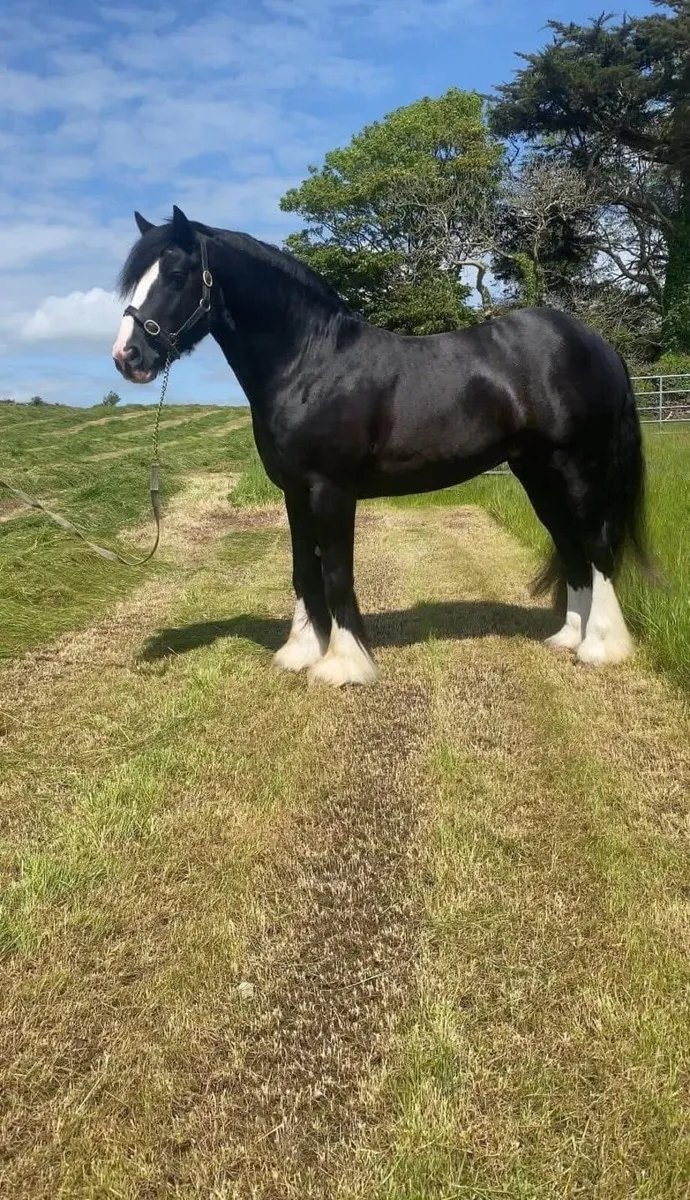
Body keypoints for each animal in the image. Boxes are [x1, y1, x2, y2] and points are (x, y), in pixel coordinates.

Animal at [112, 205, 649, 687]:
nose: (127, 356)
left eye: (176, 275)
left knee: (597, 546)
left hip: (576, 467)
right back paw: (569, 638)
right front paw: (302, 651)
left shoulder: (331, 490)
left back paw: (601, 648)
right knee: (570, 546)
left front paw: (344, 665)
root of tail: (596, 342)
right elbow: (303, 572)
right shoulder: (294, 492)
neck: (310, 363)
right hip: (538, 473)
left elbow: (336, 574)